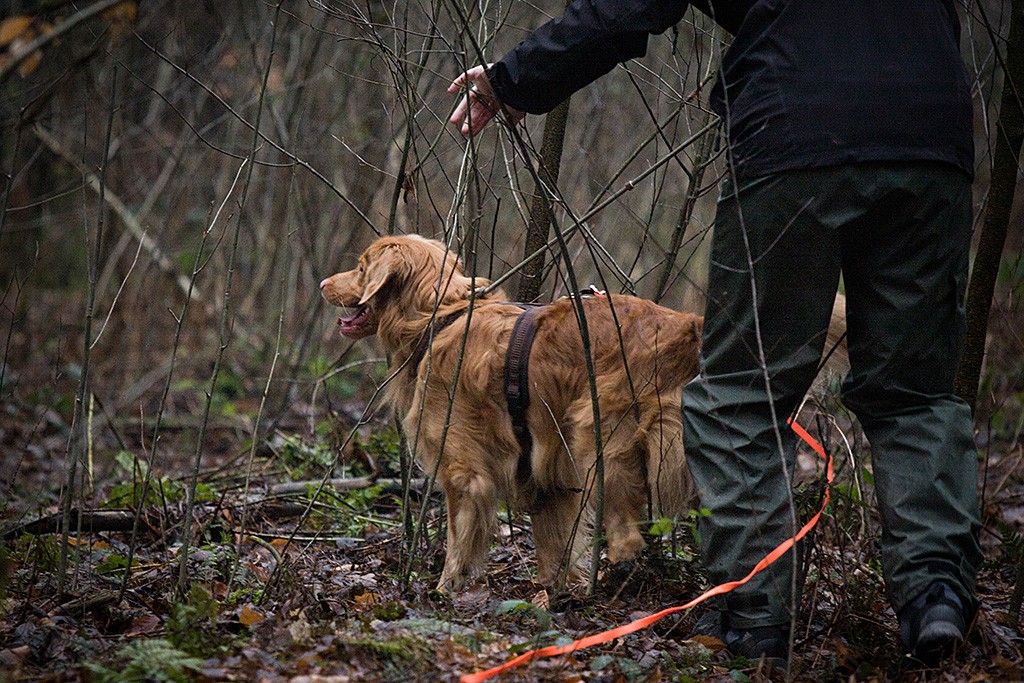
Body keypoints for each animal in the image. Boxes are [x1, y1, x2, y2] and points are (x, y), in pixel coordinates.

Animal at [319, 236, 704, 593]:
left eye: (361, 267)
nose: (323, 283)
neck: (440, 317)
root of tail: (687, 330)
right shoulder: (546, 477)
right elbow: (554, 549)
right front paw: (550, 594)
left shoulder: (464, 472)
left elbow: (458, 543)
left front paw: (445, 591)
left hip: (597, 441)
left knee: (627, 539)